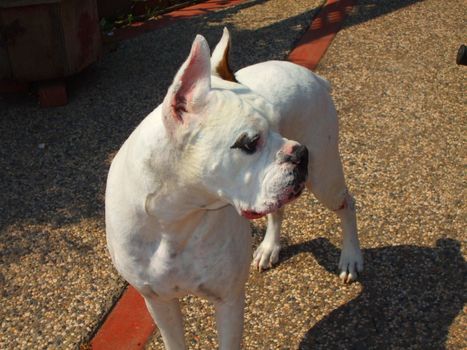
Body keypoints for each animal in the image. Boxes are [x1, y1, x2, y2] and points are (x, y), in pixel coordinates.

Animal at [105, 29, 362, 350]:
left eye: (276, 124)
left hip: (325, 177)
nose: (300, 153)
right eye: (250, 143)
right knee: (277, 212)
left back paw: (351, 257)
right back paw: (269, 247)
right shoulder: (159, 302)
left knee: (348, 204)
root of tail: (312, 76)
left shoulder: (228, 300)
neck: (175, 219)